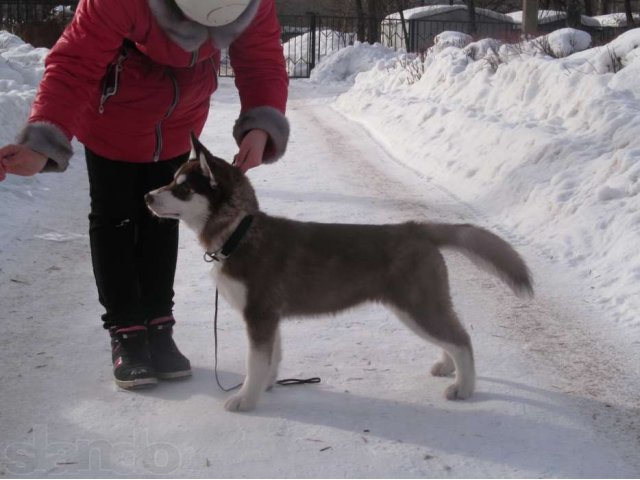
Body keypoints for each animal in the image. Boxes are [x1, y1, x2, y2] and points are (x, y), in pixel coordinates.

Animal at [146, 135, 536, 412]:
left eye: (183, 188)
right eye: (171, 180)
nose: (148, 196)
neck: (239, 233)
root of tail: (416, 228)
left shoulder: (258, 314)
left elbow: (255, 363)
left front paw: (246, 399)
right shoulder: (271, 318)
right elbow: (272, 358)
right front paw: (267, 386)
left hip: (417, 306)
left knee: (462, 339)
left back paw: (464, 387)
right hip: (419, 305)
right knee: (451, 336)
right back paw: (446, 366)